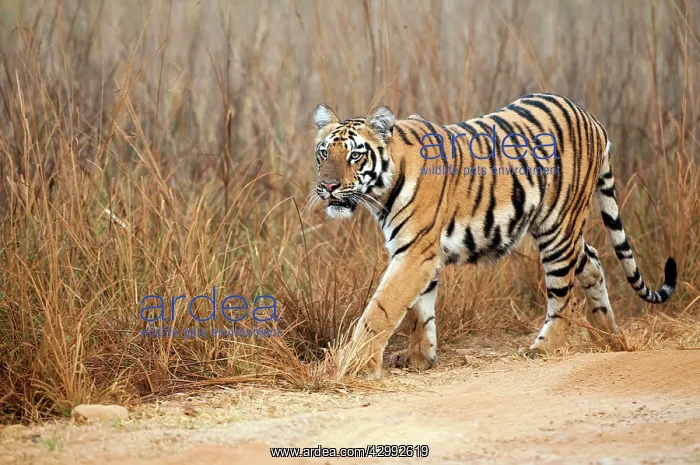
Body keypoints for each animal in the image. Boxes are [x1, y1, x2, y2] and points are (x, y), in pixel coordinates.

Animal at [311, 93, 677, 379]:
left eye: (355, 155)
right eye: (324, 153)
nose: (327, 187)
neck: (380, 193)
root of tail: (593, 120)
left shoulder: (414, 253)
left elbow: (382, 309)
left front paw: (354, 366)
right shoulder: (418, 253)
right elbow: (419, 310)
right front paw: (420, 357)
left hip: (558, 227)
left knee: (565, 294)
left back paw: (544, 347)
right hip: (566, 229)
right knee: (592, 261)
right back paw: (608, 337)